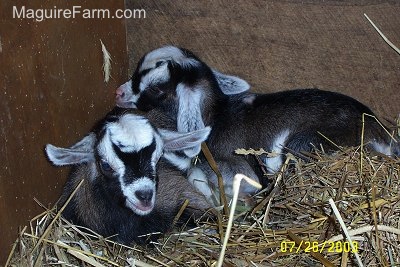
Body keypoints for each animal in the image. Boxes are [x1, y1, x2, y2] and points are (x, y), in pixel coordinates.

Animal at [114, 45, 398, 198]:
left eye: (155, 89)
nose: (118, 92)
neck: (218, 116)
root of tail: (380, 133)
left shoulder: (238, 167)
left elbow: (199, 174)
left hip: (302, 144)